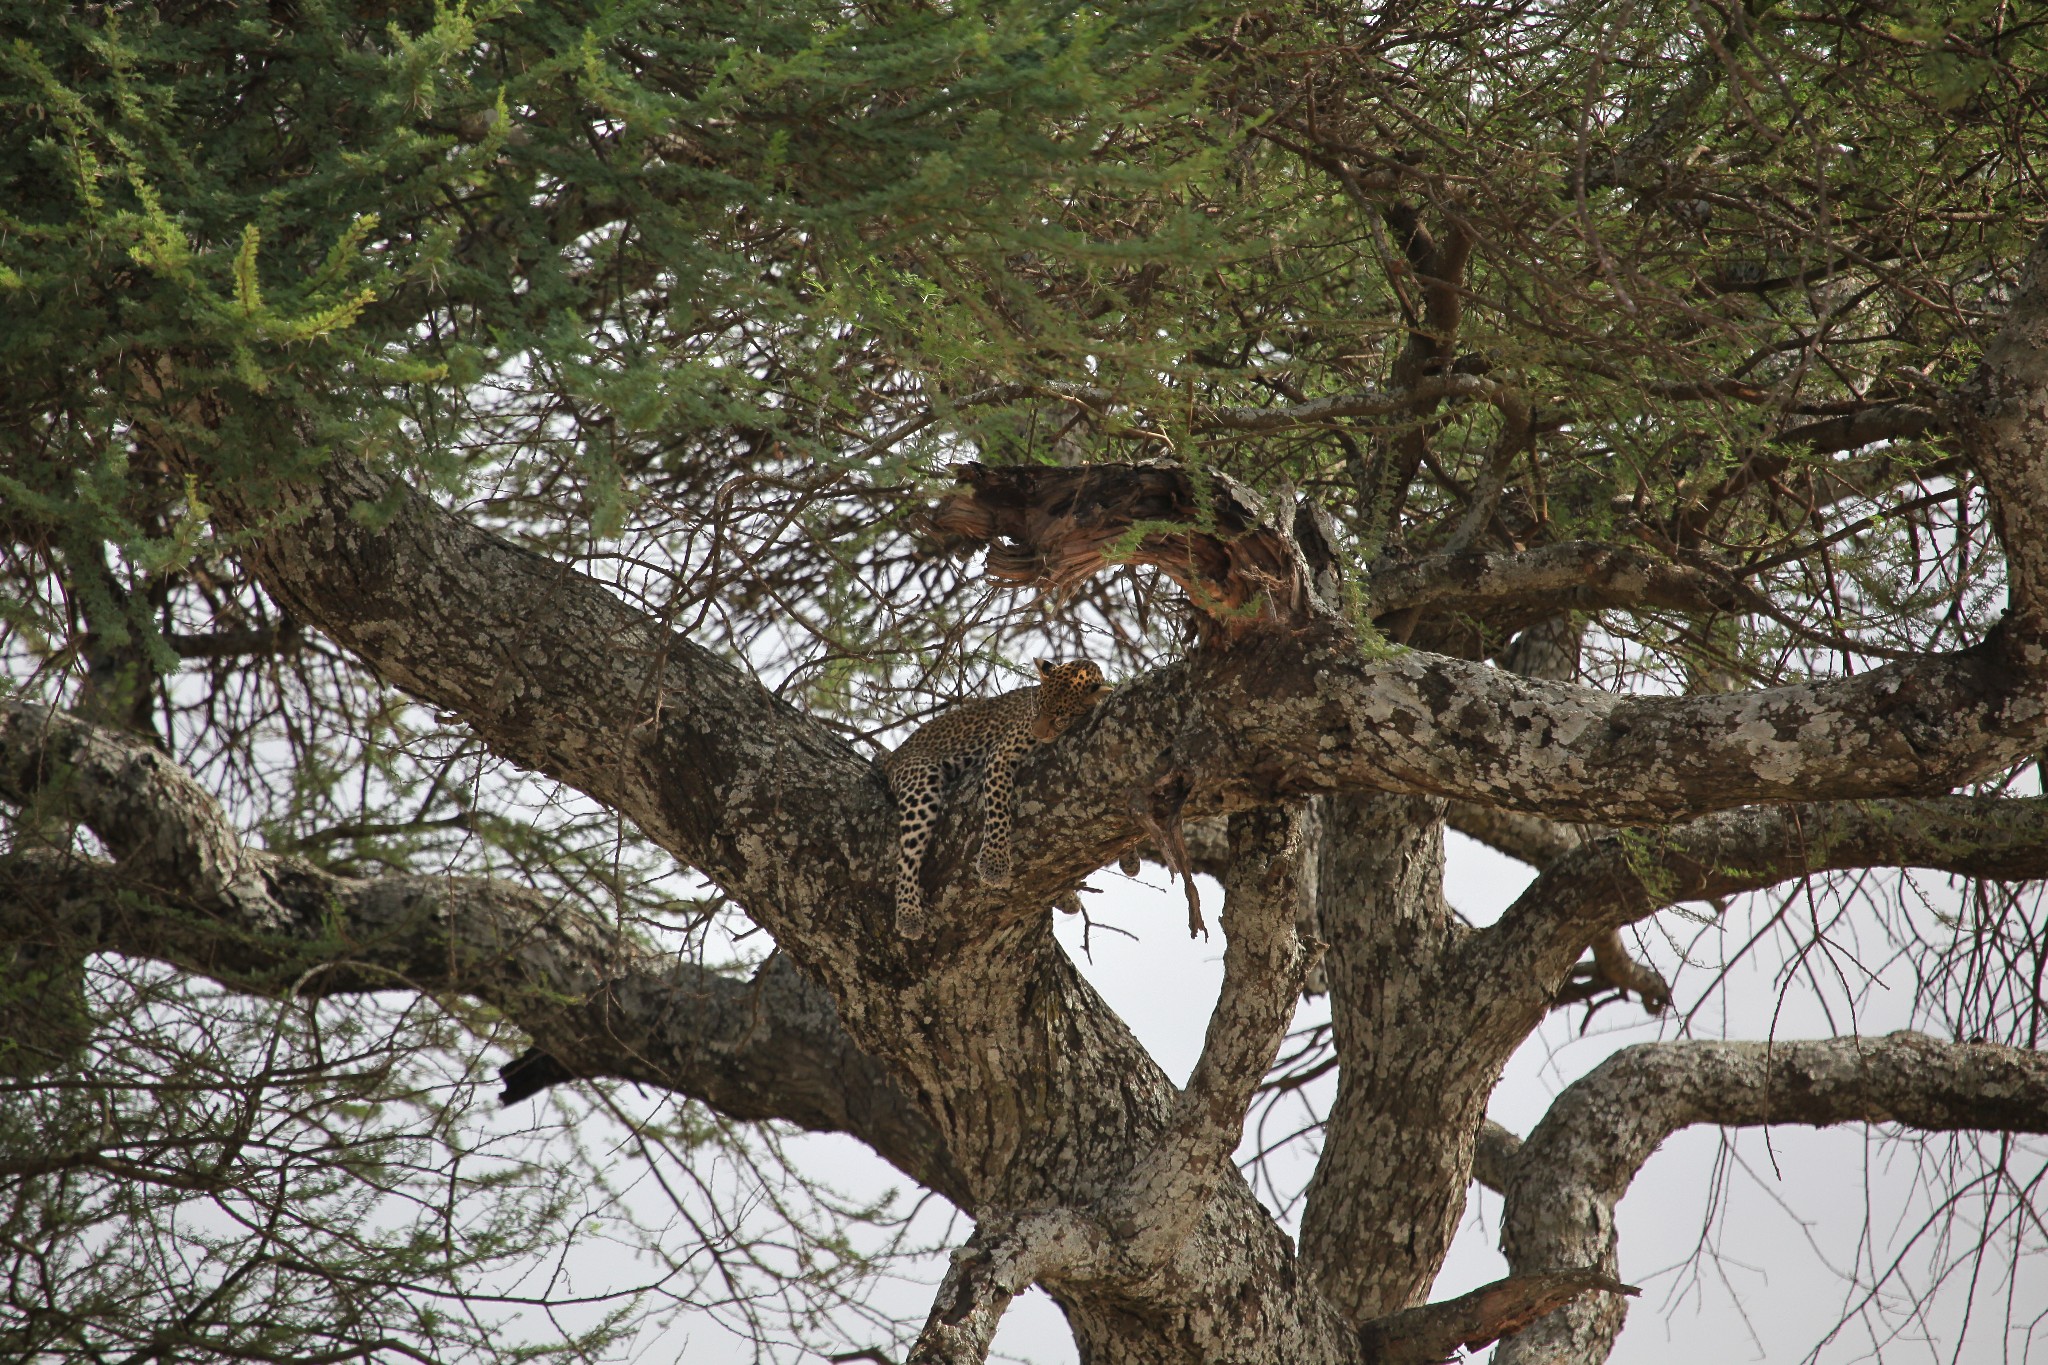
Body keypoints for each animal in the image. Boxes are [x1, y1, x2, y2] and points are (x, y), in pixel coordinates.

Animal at [876, 658, 1105, 941]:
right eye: (1037, 707)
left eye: (1061, 718)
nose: (1037, 733)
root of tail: (894, 755)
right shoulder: (1002, 753)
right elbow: (998, 809)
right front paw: (994, 864)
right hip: (920, 781)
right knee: (906, 857)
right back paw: (908, 914)